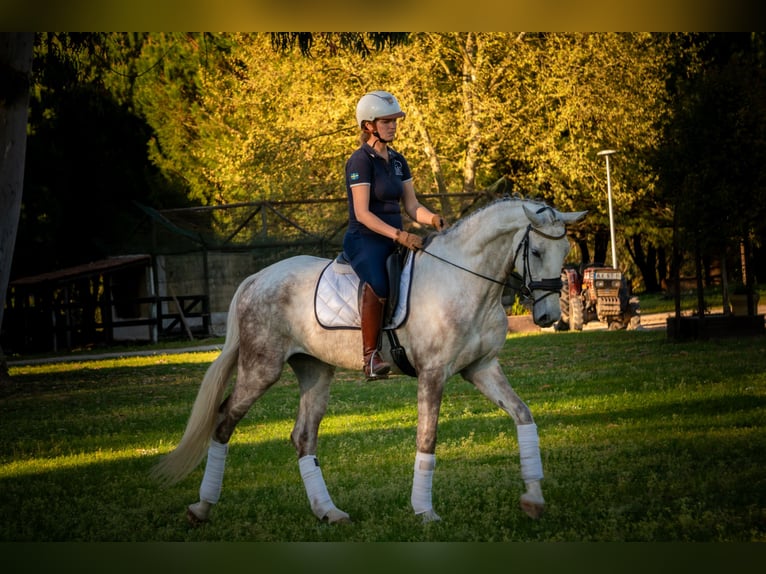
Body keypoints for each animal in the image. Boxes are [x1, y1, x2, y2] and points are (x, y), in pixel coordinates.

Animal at [151, 197, 586, 525]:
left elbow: (523, 415)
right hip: (261, 369)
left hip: (315, 370)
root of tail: (256, 278)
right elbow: (427, 438)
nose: (549, 316)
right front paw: (424, 511)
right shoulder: (433, 374)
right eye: (535, 251)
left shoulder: (481, 369)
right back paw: (201, 508)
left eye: (565, 251)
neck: (465, 280)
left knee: (303, 436)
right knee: (224, 422)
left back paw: (328, 512)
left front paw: (533, 499)